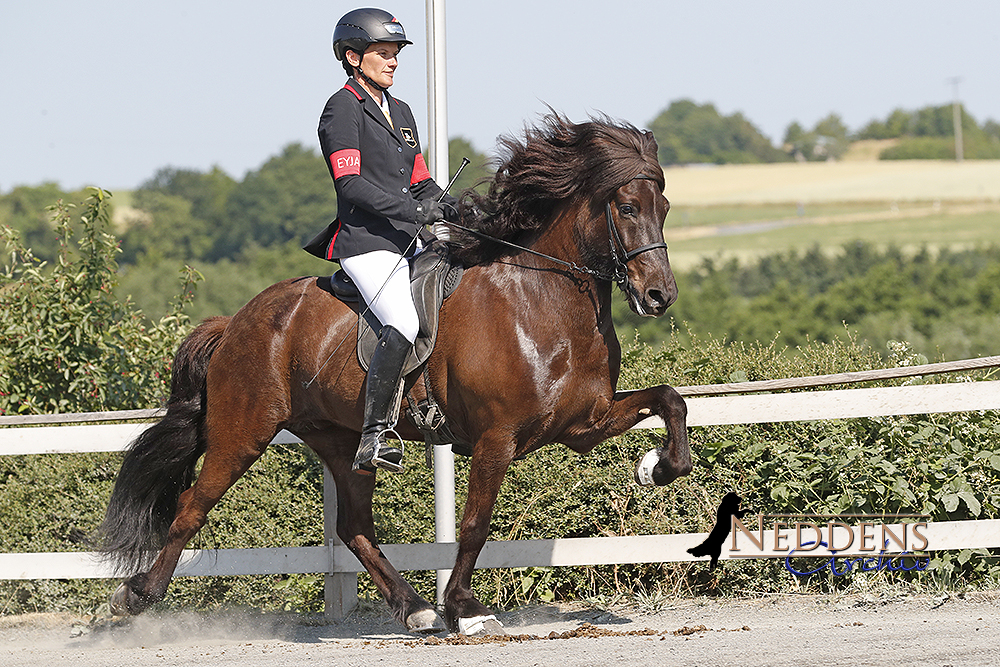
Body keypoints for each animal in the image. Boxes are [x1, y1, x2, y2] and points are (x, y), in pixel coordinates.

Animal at [97, 115, 692, 636]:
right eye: (627, 207)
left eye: (663, 207)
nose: (659, 296)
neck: (540, 299)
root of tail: (238, 320)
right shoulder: (495, 438)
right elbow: (475, 523)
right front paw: (465, 609)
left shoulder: (583, 424)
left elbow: (671, 399)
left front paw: (657, 468)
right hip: (242, 432)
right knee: (191, 508)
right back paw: (134, 596)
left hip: (340, 440)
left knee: (354, 528)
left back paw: (415, 609)